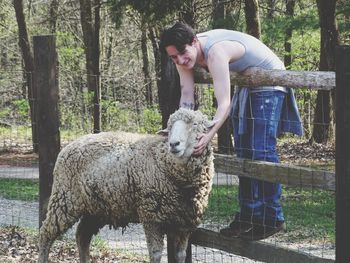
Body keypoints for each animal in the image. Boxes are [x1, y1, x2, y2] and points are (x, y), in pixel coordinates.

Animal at [37, 108, 215, 262]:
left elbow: (180, 255)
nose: (174, 144)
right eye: (170, 128)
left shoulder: (184, 224)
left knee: (82, 236)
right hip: (65, 199)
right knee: (46, 234)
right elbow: (156, 254)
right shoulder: (151, 217)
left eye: (195, 124)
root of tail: (68, 146)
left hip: (96, 208)